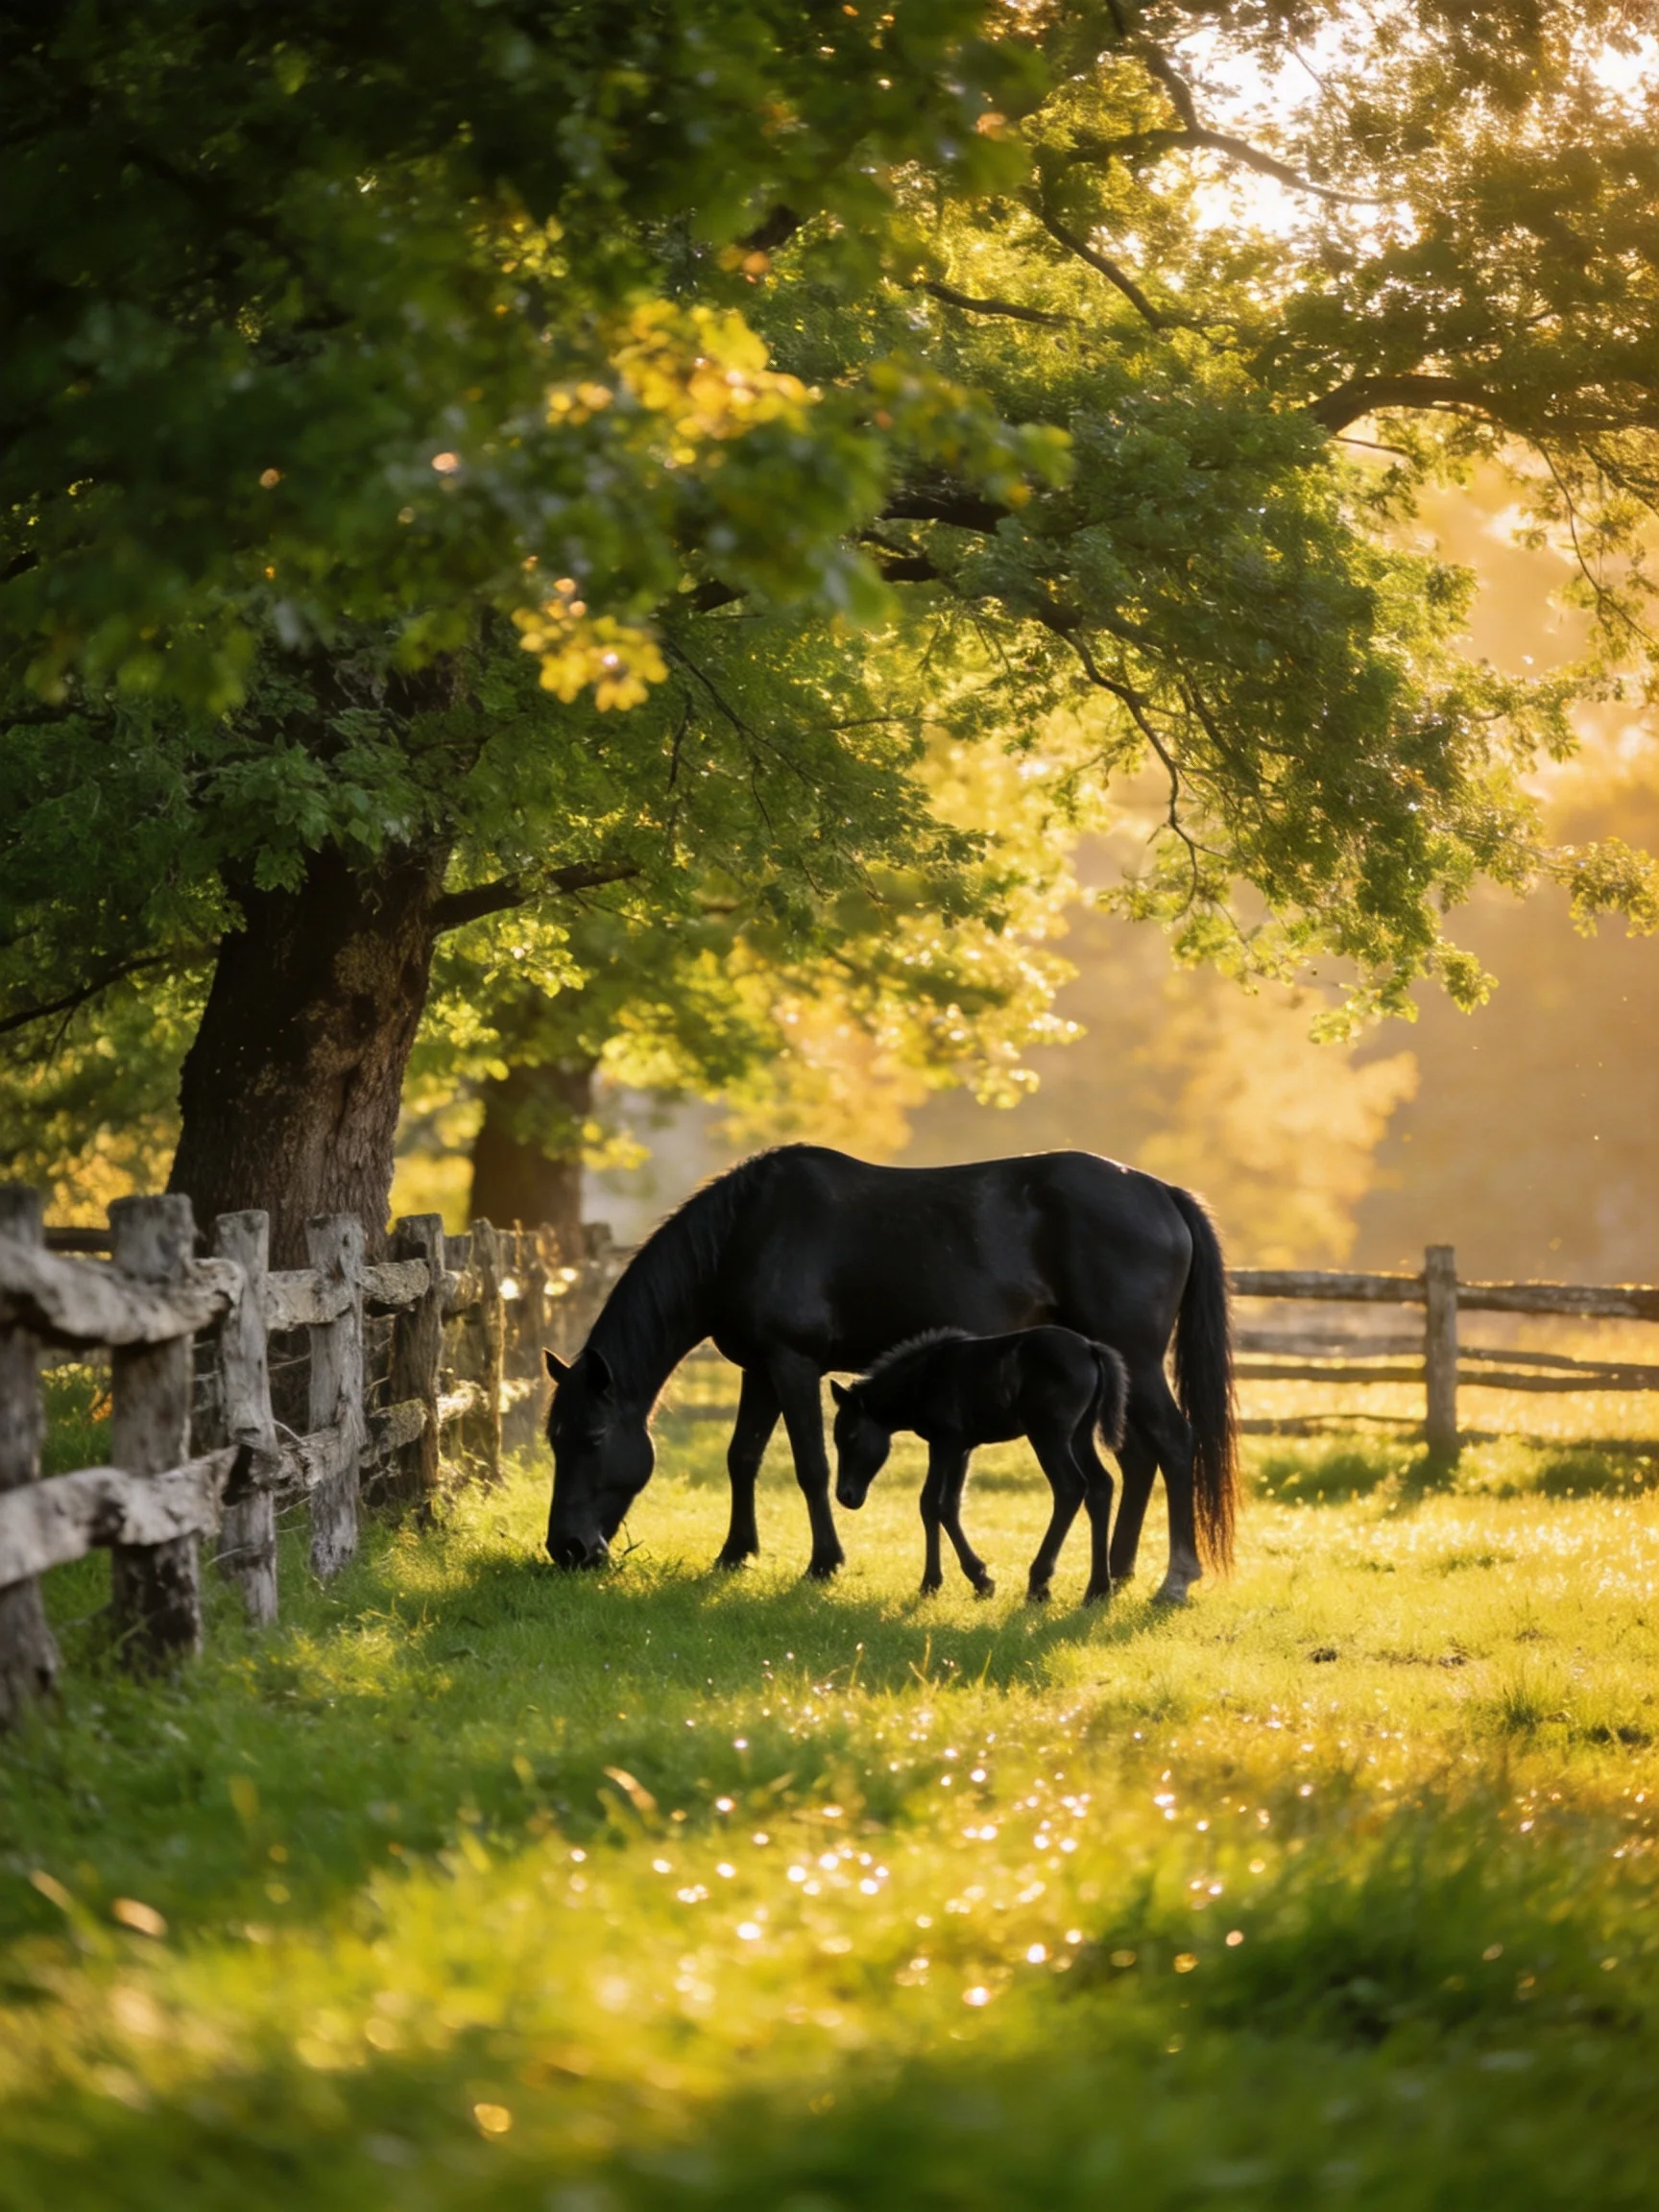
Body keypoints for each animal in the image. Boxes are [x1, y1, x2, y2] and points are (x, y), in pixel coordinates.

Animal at [829, 1326, 1131, 1603]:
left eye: (851, 1436)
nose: (845, 1496)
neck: (921, 1380)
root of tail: (1091, 1348)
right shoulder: (962, 1448)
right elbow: (948, 1505)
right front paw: (970, 1581)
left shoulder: (944, 1442)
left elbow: (932, 1504)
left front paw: (944, 1581)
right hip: (1080, 1434)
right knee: (1101, 1486)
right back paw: (1098, 1590)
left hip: (1049, 1436)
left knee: (1070, 1488)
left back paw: (1039, 1584)